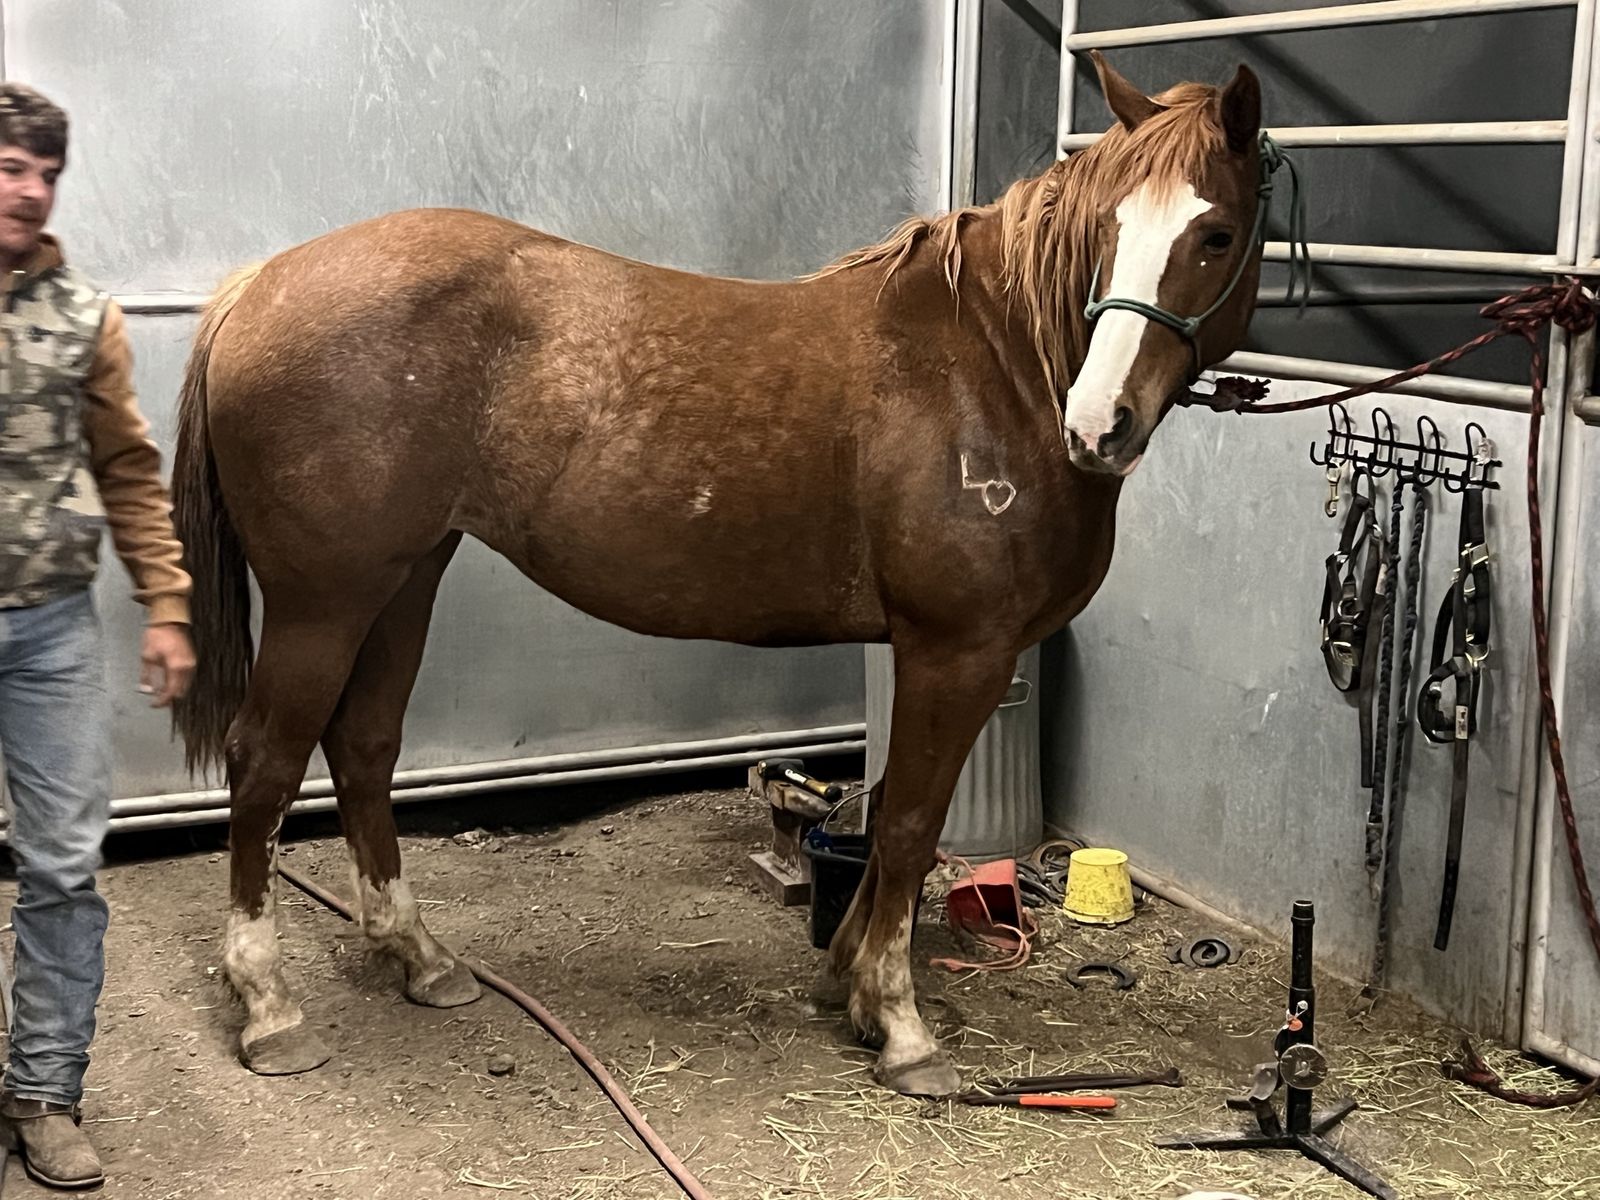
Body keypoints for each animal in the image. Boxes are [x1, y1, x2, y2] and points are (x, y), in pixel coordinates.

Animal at [170, 52, 1267, 1097]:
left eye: (1214, 235)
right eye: (1111, 229)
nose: (1099, 426)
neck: (995, 366)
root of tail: (256, 285)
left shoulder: (927, 654)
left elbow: (890, 819)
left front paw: (844, 989)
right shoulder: (958, 651)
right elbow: (914, 827)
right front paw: (901, 1028)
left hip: (404, 579)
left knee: (363, 748)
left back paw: (420, 959)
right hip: (323, 602)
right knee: (266, 764)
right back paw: (270, 1009)